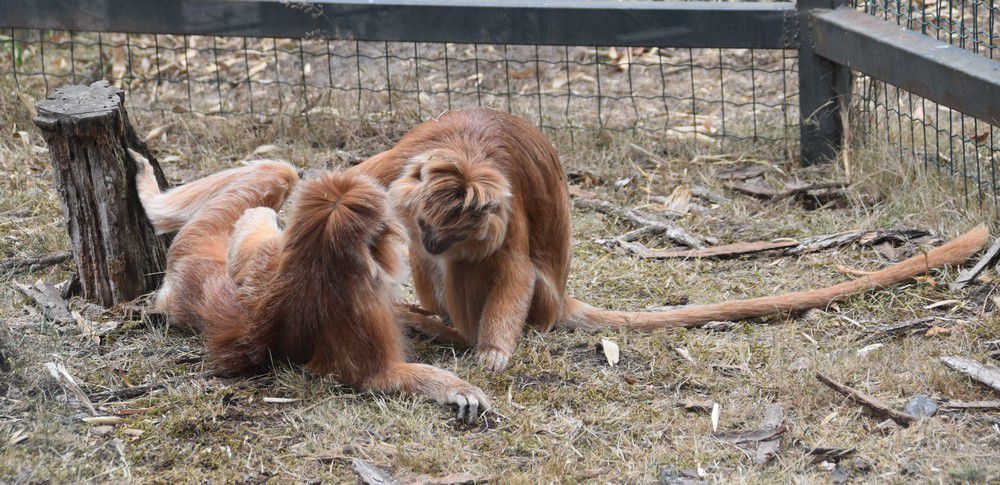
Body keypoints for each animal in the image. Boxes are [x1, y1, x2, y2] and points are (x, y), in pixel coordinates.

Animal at [131, 151, 490, 420]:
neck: (322, 255)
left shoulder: (280, 256)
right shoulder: (361, 296)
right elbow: (379, 376)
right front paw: (456, 389)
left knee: (276, 175)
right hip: (200, 237)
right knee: (277, 175)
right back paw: (152, 202)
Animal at [348, 108, 988, 372]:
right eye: (429, 227)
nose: (432, 243)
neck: (465, 149)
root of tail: (562, 301)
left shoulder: (498, 209)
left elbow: (513, 271)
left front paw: (492, 353)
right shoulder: (409, 159)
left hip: (541, 305)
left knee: (478, 272)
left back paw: (450, 330)